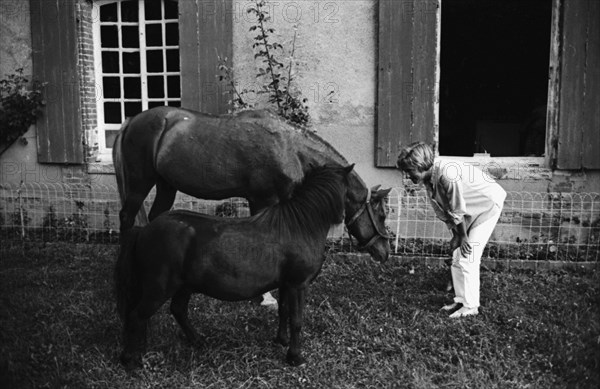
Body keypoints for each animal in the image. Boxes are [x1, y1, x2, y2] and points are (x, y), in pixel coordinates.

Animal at [114, 106, 392, 260]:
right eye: (382, 214)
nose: (385, 252)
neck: (289, 149)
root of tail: (132, 120)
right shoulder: (262, 200)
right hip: (140, 184)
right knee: (127, 217)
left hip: (166, 185)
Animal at [115, 163, 354, 366]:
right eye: (348, 190)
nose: (346, 218)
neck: (299, 227)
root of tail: (143, 230)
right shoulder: (298, 284)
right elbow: (296, 319)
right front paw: (295, 357)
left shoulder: (287, 284)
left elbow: (284, 311)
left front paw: (282, 341)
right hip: (160, 288)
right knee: (137, 315)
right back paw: (130, 359)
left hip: (184, 286)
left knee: (177, 310)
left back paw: (197, 341)